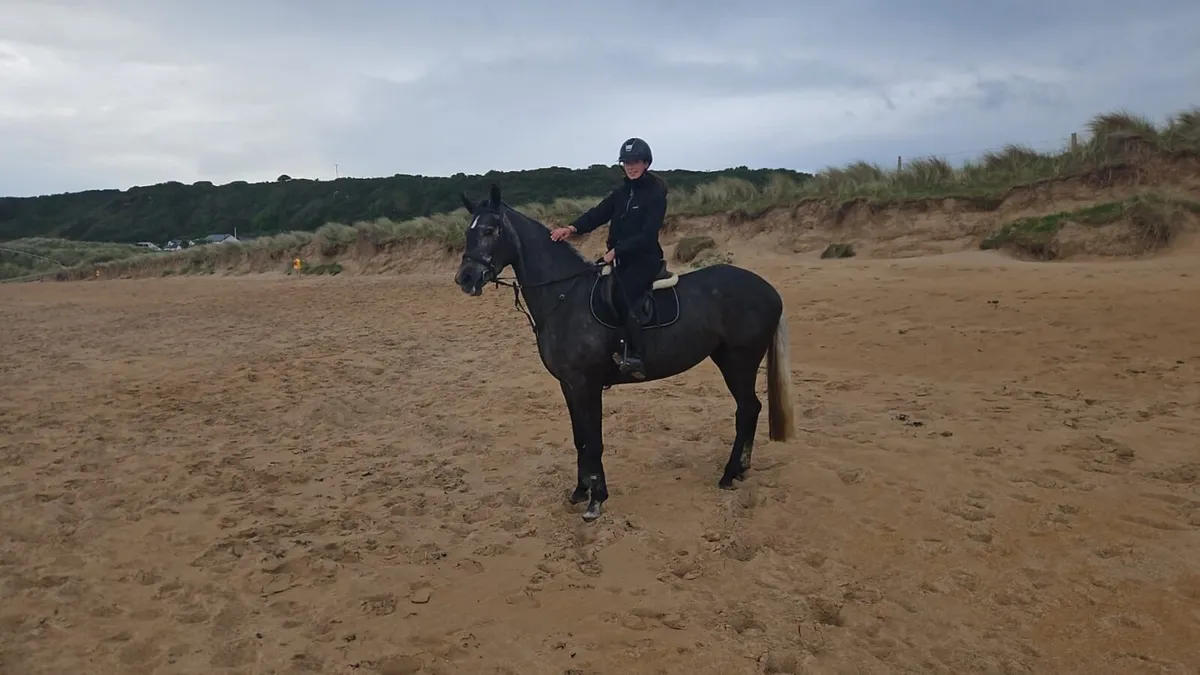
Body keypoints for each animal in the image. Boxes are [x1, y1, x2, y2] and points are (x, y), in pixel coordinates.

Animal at [453, 184, 796, 522]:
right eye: (468, 232)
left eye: (489, 230)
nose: (465, 278)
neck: (565, 297)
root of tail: (769, 290)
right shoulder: (568, 384)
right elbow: (580, 438)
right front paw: (580, 491)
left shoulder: (586, 385)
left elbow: (594, 440)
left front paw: (596, 500)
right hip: (728, 358)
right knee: (750, 409)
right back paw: (740, 470)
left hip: (740, 361)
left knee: (747, 409)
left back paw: (728, 473)